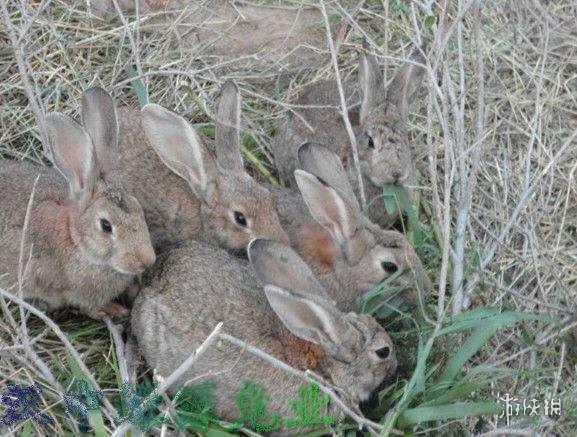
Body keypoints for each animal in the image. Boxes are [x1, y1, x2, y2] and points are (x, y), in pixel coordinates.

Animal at [0, 89, 155, 320]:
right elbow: (85, 306)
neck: (75, 239)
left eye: (138, 207)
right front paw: (112, 310)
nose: (147, 260)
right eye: (106, 225)